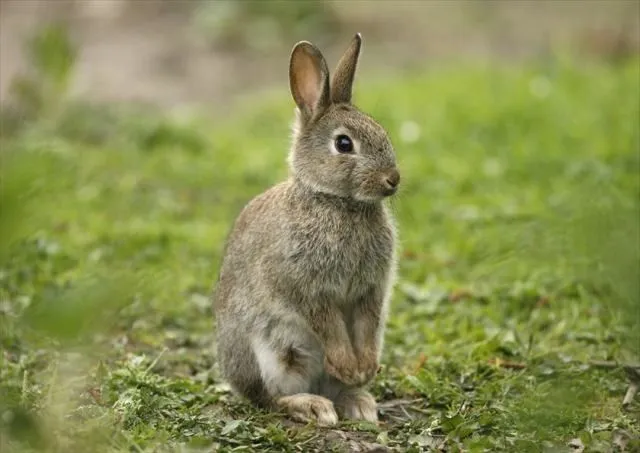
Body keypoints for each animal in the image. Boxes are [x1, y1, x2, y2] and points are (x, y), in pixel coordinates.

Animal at [212, 33, 398, 426]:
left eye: (382, 133)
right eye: (343, 144)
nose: (393, 180)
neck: (339, 202)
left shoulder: (371, 290)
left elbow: (368, 324)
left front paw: (364, 369)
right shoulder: (308, 289)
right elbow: (328, 325)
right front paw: (350, 366)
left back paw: (358, 401)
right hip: (270, 356)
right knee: (269, 399)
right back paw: (312, 406)